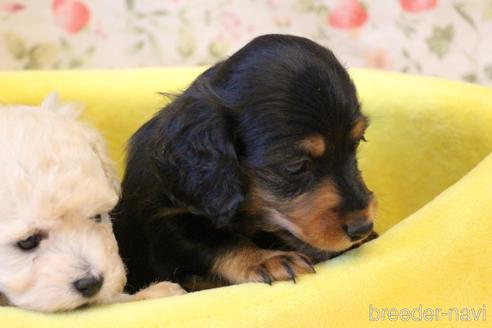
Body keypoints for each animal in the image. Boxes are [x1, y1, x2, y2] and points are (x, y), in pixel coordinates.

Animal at [114, 34, 376, 292]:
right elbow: (214, 241)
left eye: (357, 143)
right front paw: (265, 260)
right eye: (295, 165)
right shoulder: (163, 222)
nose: (362, 228)